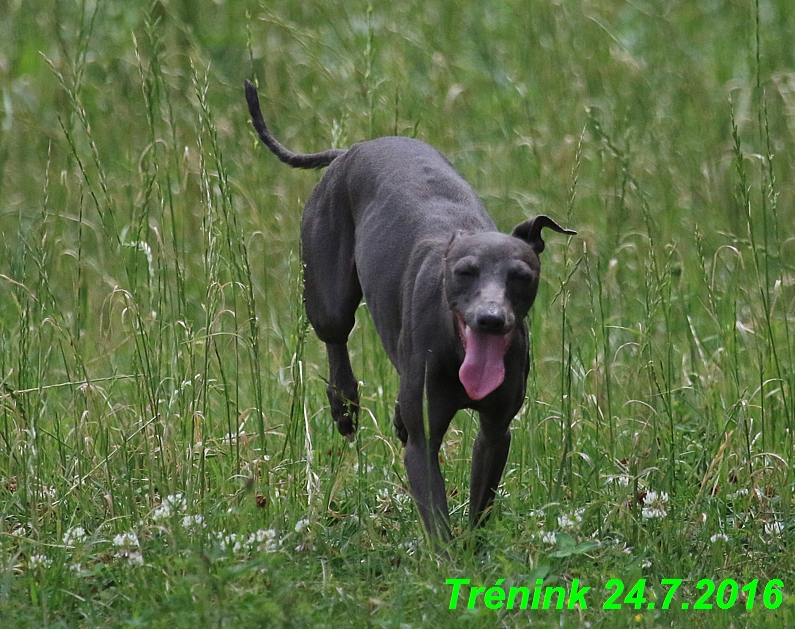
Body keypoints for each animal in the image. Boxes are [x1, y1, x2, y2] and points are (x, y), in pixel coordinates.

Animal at [246, 79, 576, 540]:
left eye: (521, 276)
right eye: (464, 272)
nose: (491, 320)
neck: (457, 348)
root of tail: (350, 150)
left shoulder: (496, 432)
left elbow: (480, 504)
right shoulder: (424, 442)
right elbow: (436, 516)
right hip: (327, 292)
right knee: (335, 338)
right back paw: (344, 405)